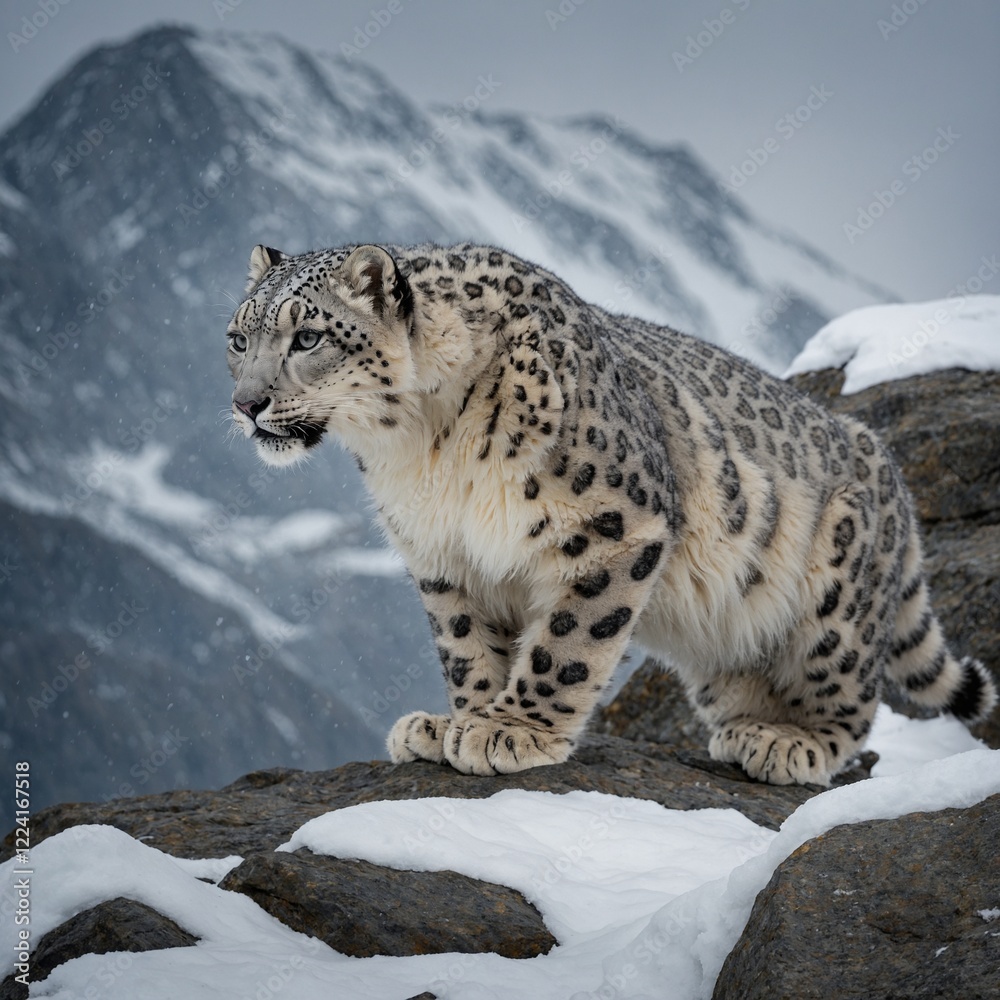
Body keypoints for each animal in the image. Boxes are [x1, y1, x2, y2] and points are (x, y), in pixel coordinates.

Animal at [225, 240, 997, 786]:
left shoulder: (614, 525)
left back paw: (788, 743)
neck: (420, 448)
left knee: (851, 698)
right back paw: (747, 729)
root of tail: (884, 461)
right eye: (238, 339)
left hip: (834, 604)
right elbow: (466, 644)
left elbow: (567, 641)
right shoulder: (445, 555)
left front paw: (514, 730)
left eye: (307, 338)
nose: (246, 403)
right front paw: (453, 723)